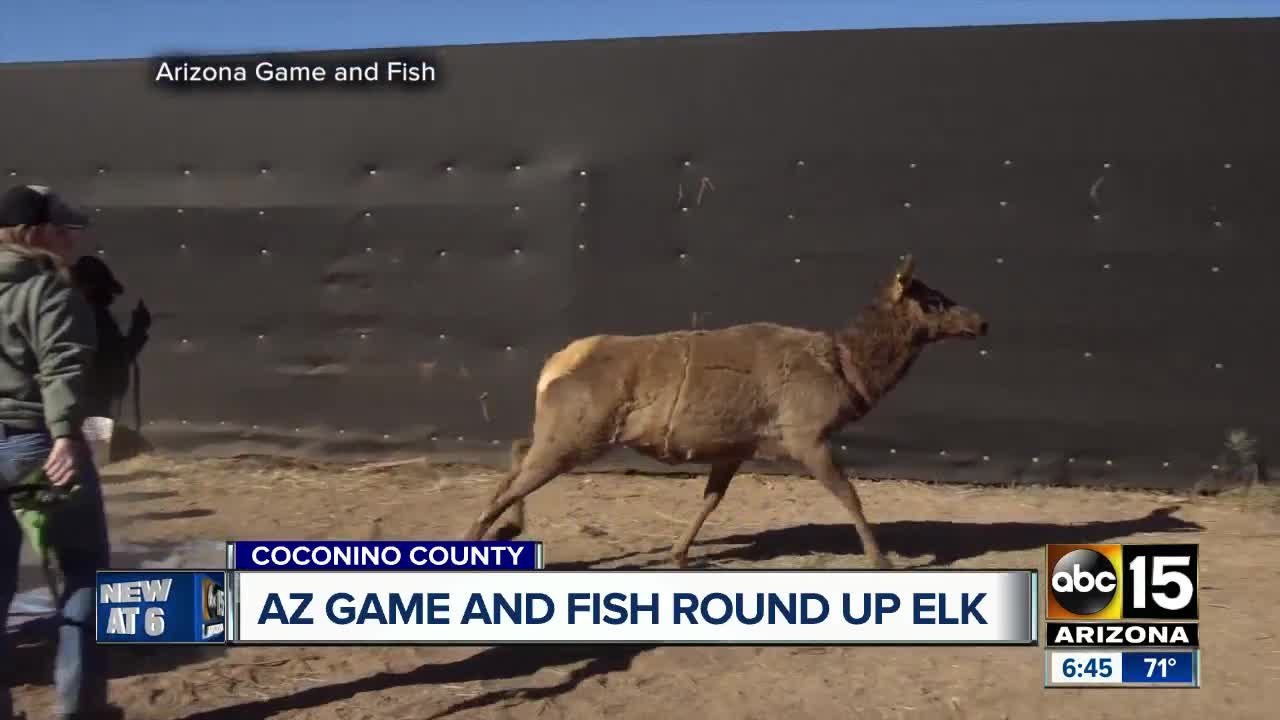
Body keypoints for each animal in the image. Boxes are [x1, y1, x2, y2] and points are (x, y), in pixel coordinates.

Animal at [463, 255, 989, 569]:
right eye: (934, 300)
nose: (982, 321)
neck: (850, 372)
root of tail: (550, 368)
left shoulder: (734, 448)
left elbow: (710, 501)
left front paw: (679, 553)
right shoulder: (806, 433)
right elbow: (850, 496)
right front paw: (880, 559)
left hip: (567, 432)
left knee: (516, 452)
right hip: (577, 433)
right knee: (508, 484)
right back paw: (479, 536)